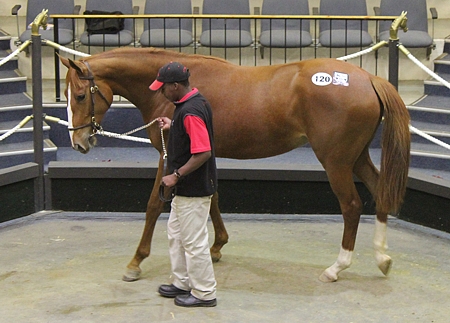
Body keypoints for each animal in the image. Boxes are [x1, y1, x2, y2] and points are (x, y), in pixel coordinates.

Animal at [60, 47, 412, 284]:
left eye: (79, 95)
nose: (78, 143)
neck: (180, 90)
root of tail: (368, 78)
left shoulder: (169, 156)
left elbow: (153, 205)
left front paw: (136, 262)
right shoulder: (204, 156)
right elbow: (212, 197)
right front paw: (217, 246)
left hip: (336, 161)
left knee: (351, 206)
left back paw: (336, 268)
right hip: (357, 156)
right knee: (379, 190)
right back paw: (382, 258)